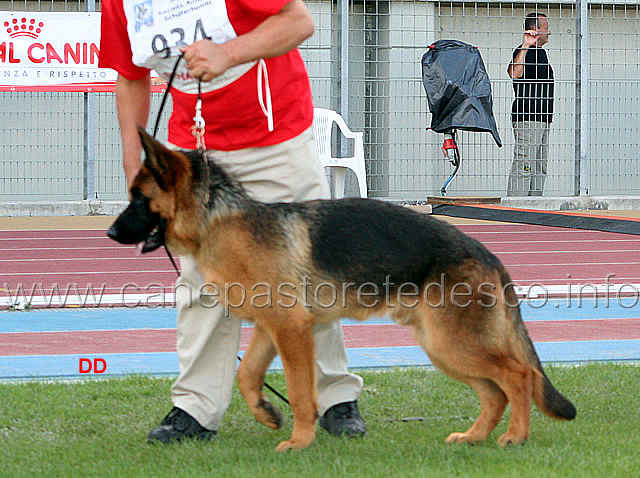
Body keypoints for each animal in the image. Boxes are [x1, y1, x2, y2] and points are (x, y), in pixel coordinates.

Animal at [107, 128, 576, 452]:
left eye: (138, 198)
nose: (110, 233)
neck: (219, 219)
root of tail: (484, 250)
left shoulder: (293, 330)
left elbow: (301, 390)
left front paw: (299, 442)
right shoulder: (270, 329)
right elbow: (245, 375)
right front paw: (266, 414)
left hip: (453, 343)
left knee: (519, 375)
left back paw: (515, 437)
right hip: (443, 346)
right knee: (494, 391)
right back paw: (474, 436)